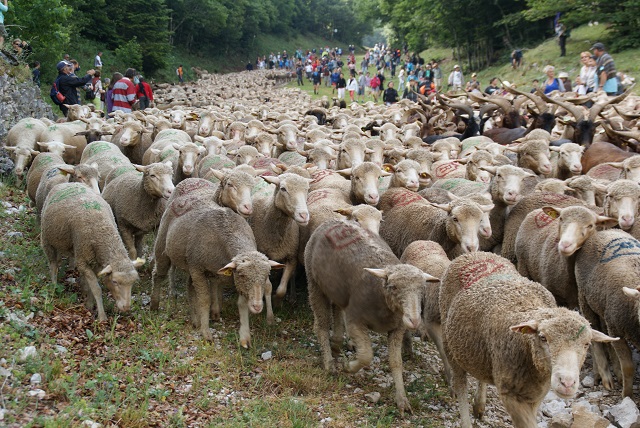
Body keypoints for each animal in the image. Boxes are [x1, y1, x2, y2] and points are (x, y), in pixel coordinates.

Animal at [41, 181, 144, 320]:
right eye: (114, 281)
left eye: (133, 282)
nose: (126, 307)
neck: (102, 229)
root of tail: (69, 182)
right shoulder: (83, 262)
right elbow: (96, 289)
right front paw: (102, 316)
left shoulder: (97, 263)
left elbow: (92, 287)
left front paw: (89, 304)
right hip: (47, 240)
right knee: (53, 265)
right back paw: (54, 286)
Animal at [248, 172, 310, 300]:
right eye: (283, 189)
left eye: (307, 189)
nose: (304, 215)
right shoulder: (264, 257)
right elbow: (267, 285)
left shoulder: (291, 257)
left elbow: (282, 289)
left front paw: (277, 297)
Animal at [306, 219, 440, 412]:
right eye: (393, 287)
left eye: (422, 289)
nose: (414, 321)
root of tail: (333, 220)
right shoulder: (355, 320)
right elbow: (366, 355)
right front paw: (349, 367)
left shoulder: (397, 328)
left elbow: (396, 362)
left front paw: (402, 400)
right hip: (314, 282)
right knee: (322, 324)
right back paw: (329, 363)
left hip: (338, 290)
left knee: (338, 311)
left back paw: (336, 344)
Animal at [440, 251, 616, 428]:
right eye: (543, 338)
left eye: (587, 344)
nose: (567, 383)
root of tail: (474, 254)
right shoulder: (509, 394)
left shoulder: (537, 394)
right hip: (449, 344)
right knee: (461, 384)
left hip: (478, 349)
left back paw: (479, 405)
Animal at [576, 231, 640, 398]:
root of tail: (603, 232)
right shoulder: (617, 329)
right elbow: (628, 366)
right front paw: (627, 395)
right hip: (585, 299)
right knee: (595, 337)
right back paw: (605, 377)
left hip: (603, 309)